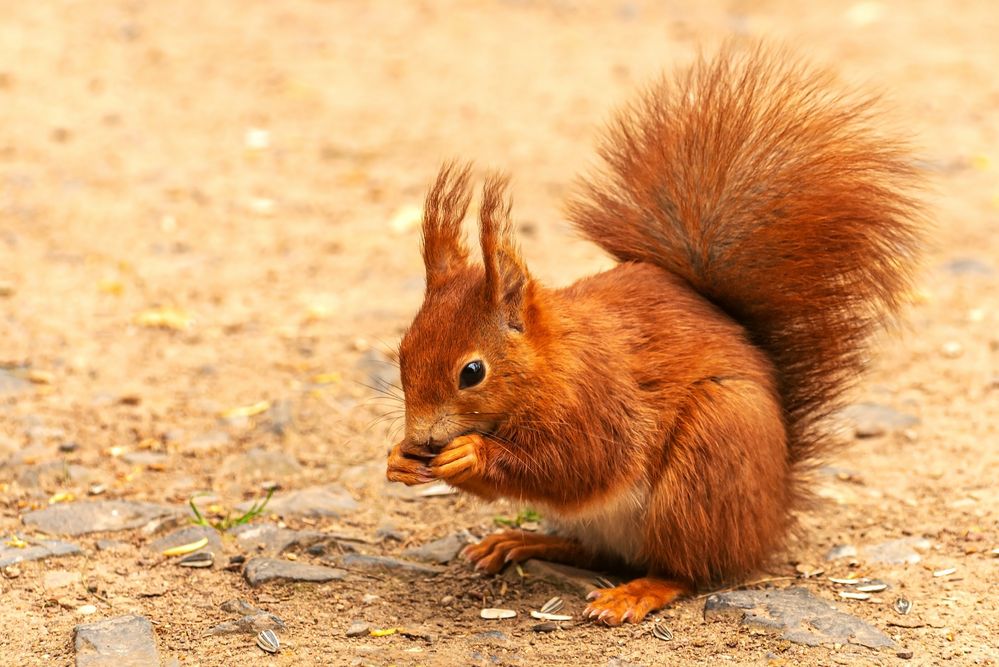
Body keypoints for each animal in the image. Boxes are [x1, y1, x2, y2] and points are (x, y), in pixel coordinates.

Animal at [382, 47, 920, 628]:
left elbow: (576, 464)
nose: (421, 440)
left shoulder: (600, 401)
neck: (550, 361)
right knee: (600, 553)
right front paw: (396, 459)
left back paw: (636, 592)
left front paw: (468, 454)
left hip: (707, 462)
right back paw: (523, 542)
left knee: (685, 568)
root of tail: (769, 518)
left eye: (472, 372)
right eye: (401, 353)